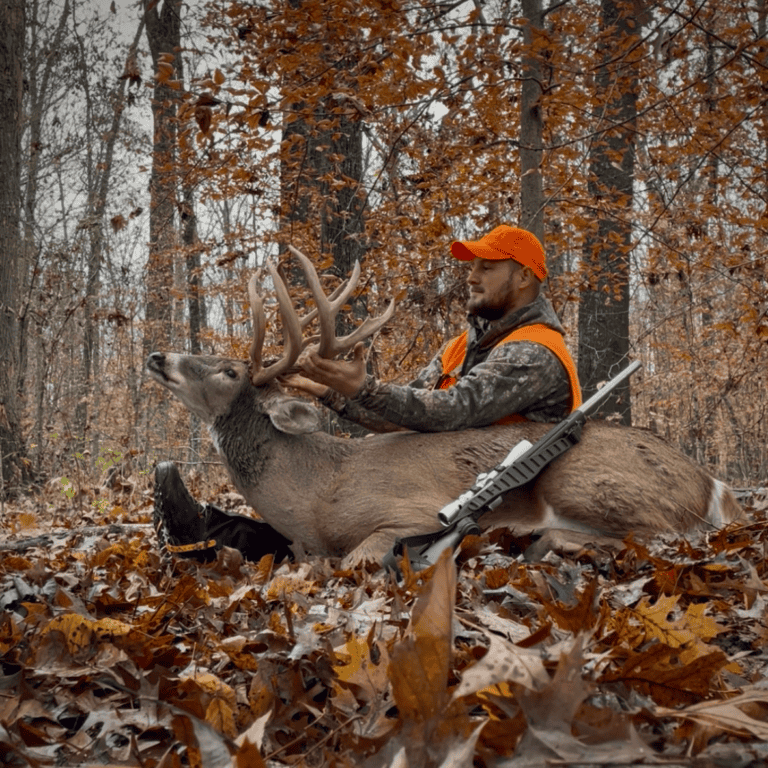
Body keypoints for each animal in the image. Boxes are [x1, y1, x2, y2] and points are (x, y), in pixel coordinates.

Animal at [146, 246, 743, 567]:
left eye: (229, 371)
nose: (156, 355)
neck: (313, 496)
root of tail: (713, 483)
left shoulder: (408, 512)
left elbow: (360, 557)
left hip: (585, 481)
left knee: (674, 535)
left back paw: (533, 538)